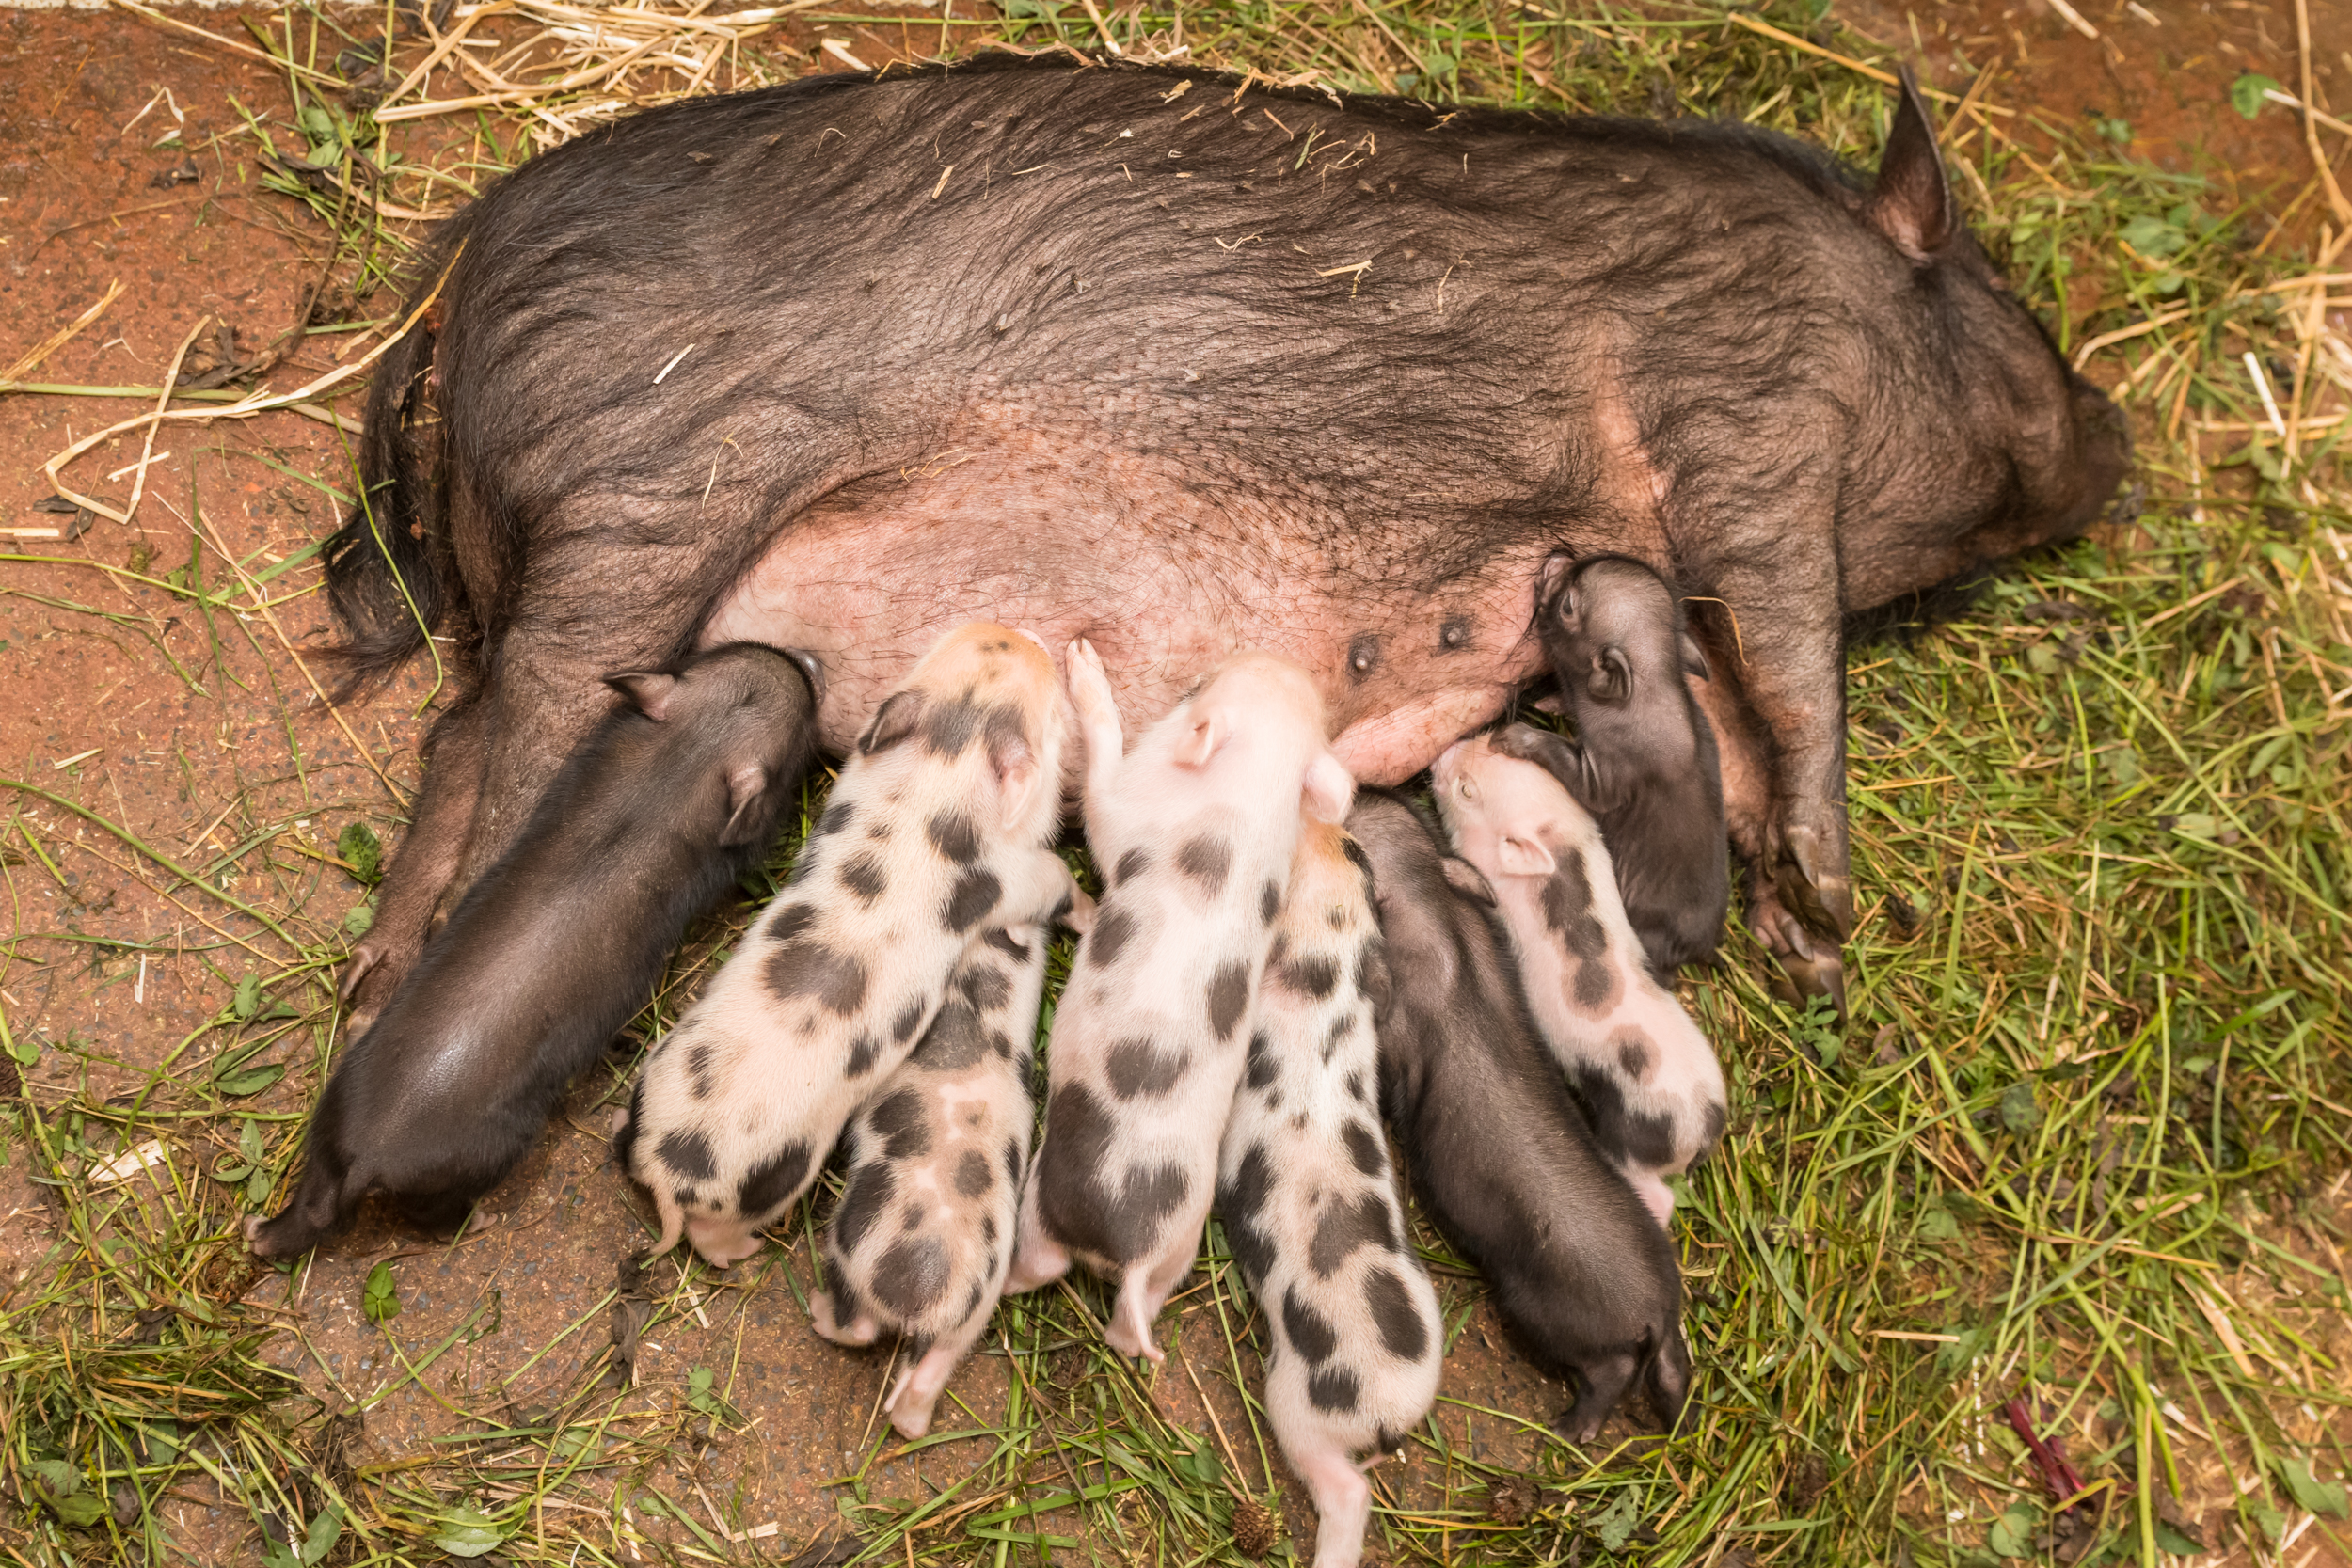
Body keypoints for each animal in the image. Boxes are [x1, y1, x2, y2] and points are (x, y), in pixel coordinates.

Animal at [326, 55, 2136, 1024]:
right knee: (517, 748)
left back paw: (376, 975)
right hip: (639, 506)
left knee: (447, 731)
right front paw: (1835, 905)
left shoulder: (1664, 565)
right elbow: (1796, 653)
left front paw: (1797, 940)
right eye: (2009, 306)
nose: (2122, 435)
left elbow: (1724, 705)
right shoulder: (1748, 424)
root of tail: (455, 276)